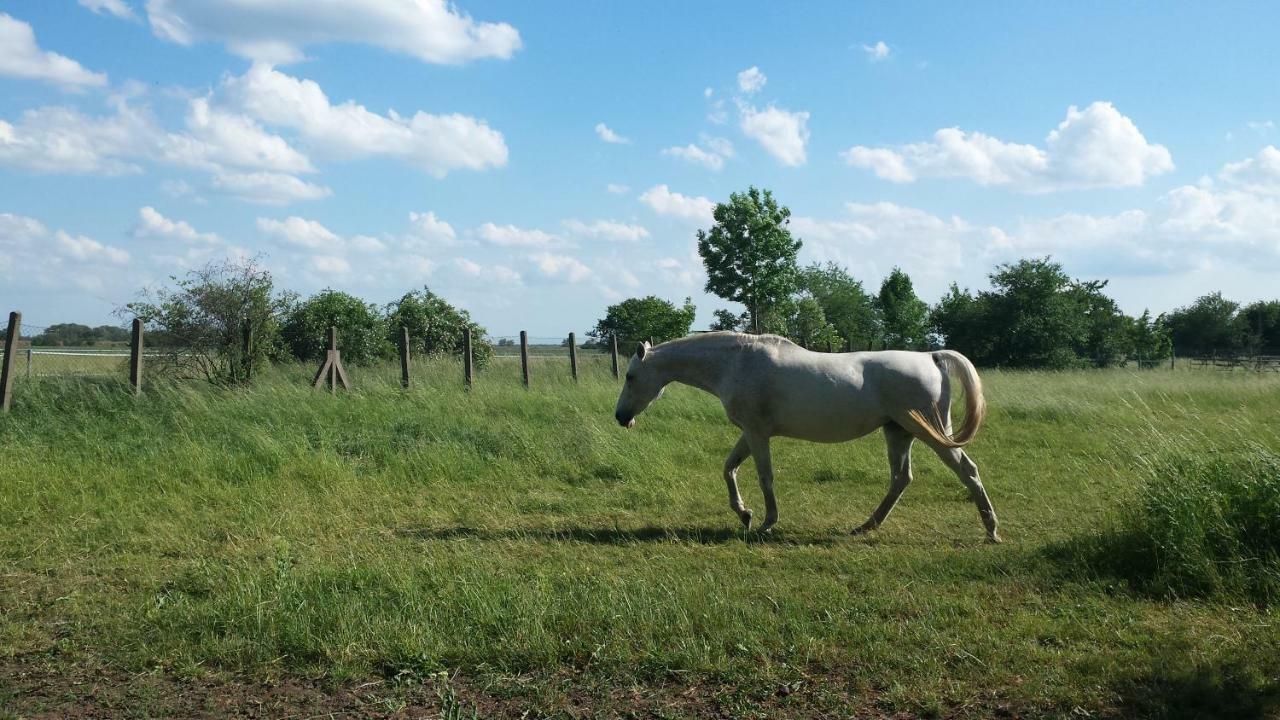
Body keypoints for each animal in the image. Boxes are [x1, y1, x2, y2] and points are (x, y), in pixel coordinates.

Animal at [611, 330, 998, 538]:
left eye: (630, 376)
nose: (620, 417)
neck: (736, 363)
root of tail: (931, 357)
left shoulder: (757, 434)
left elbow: (764, 476)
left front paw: (766, 522)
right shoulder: (750, 433)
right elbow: (728, 469)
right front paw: (744, 514)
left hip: (931, 434)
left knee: (967, 471)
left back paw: (991, 529)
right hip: (898, 433)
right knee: (901, 479)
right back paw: (865, 526)